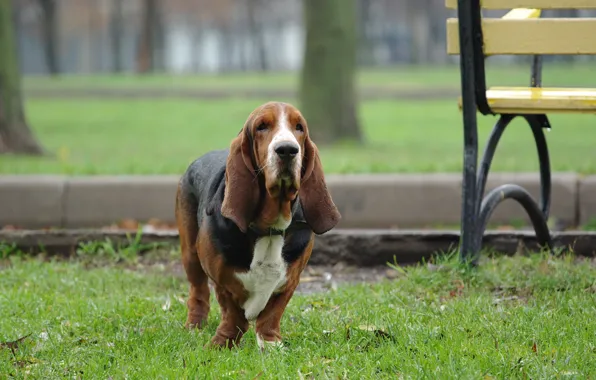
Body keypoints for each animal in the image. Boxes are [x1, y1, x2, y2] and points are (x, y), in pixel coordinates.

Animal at [175, 100, 340, 348]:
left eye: (299, 127)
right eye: (262, 126)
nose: (287, 149)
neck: (268, 228)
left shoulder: (290, 280)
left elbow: (272, 314)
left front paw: (270, 344)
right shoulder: (221, 279)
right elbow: (232, 312)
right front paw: (222, 343)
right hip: (190, 255)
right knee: (198, 292)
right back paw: (194, 326)